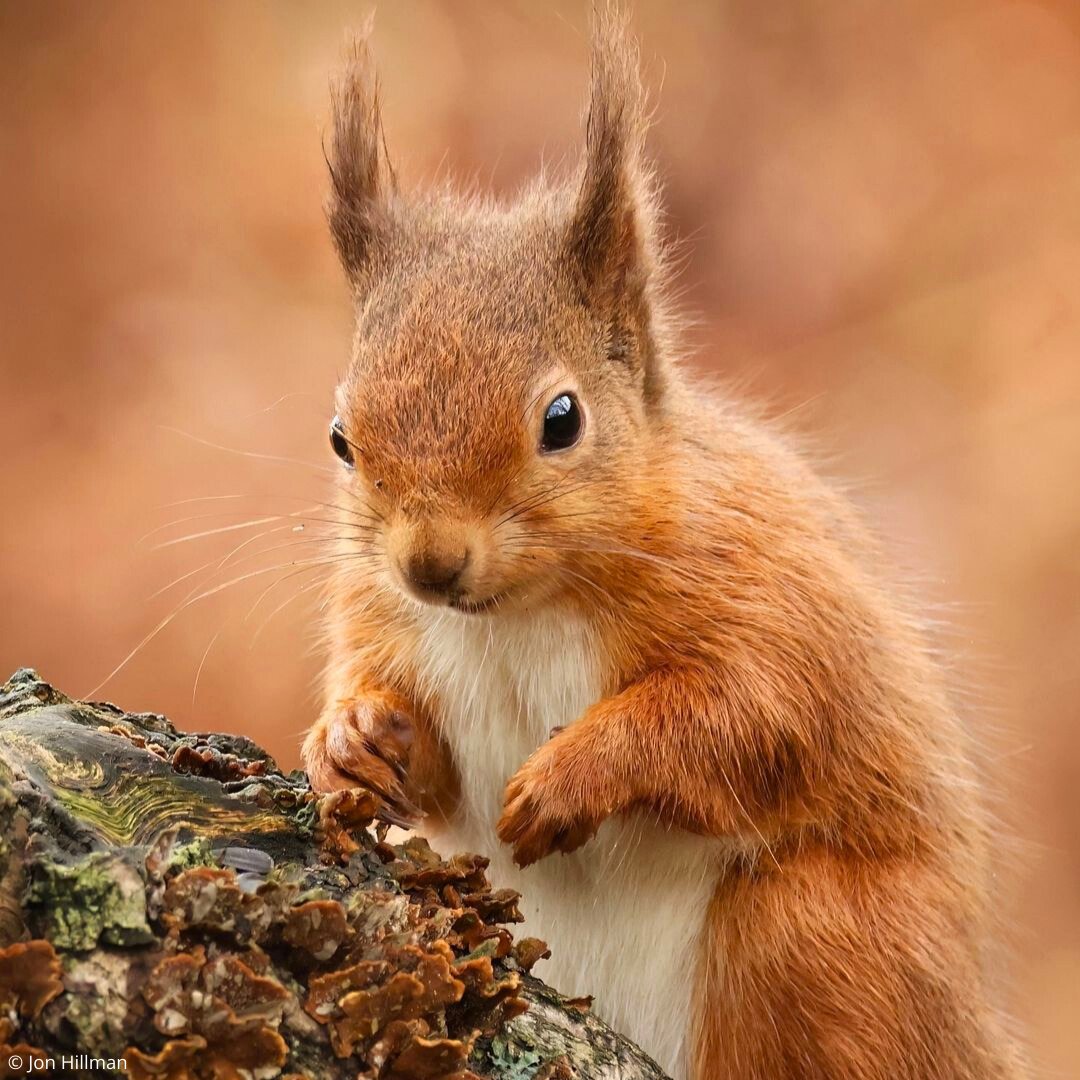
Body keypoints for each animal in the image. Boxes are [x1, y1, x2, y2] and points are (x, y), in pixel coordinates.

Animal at [300, 10, 1023, 1080]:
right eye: (342, 439)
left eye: (563, 419)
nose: (430, 564)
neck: (518, 616)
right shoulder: (386, 620)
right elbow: (424, 763)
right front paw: (350, 741)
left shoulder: (775, 598)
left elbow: (743, 715)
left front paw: (568, 777)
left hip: (812, 932)